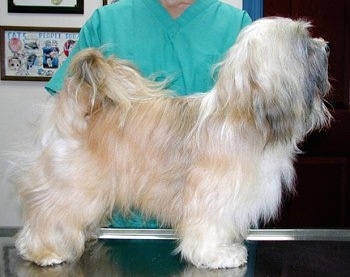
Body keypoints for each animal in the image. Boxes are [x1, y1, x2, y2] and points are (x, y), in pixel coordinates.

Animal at [14, 16, 330, 268]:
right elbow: (208, 228)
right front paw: (216, 255)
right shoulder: (211, 194)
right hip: (74, 183)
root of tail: (77, 107)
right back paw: (44, 251)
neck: (244, 118)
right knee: (47, 213)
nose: (325, 45)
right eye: (305, 45)